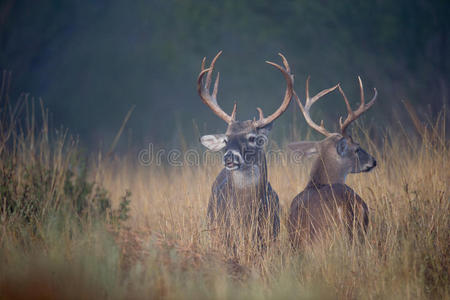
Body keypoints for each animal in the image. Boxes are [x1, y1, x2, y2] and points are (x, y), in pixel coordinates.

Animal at [199, 51, 294, 248]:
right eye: (226, 139)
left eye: (252, 138)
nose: (229, 156)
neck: (245, 219)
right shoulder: (224, 237)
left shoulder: (269, 237)